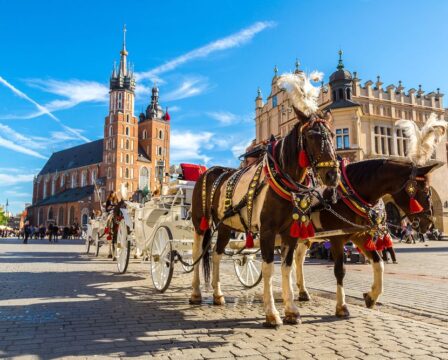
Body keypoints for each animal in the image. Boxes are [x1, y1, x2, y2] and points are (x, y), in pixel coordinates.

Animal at [189, 106, 340, 326]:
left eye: (332, 135)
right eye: (312, 136)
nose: (332, 175)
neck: (283, 180)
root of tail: (209, 171)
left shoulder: (290, 233)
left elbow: (287, 267)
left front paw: (291, 310)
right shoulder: (268, 231)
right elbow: (268, 268)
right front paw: (272, 313)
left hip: (225, 226)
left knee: (216, 254)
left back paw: (218, 295)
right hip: (200, 223)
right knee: (197, 254)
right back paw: (195, 294)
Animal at [294, 159, 440, 316]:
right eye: (425, 191)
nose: (429, 223)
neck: (347, 196)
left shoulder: (360, 236)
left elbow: (379, 263)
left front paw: (371, 296)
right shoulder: (337, 239)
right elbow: (340, 271)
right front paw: (341, 306)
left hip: (305, 238)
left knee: (298, 259)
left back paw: (302, 291)